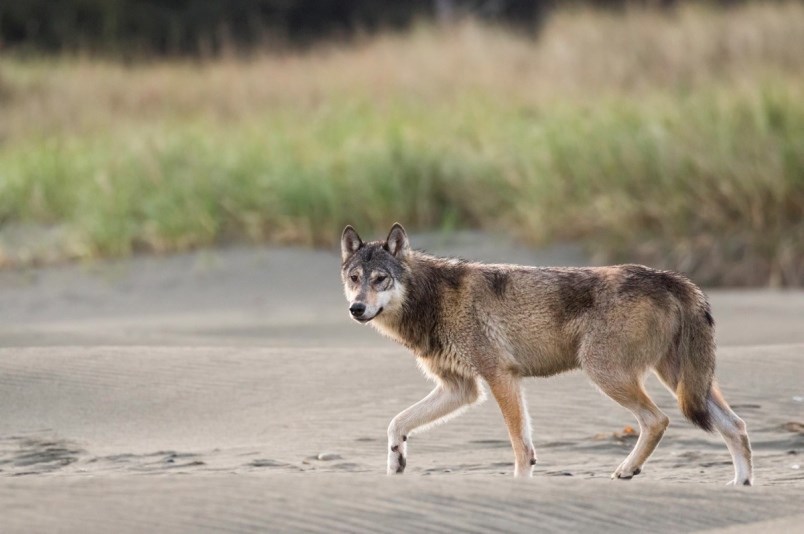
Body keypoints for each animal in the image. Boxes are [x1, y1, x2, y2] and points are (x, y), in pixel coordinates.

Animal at [340, 222, 752, 486]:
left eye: (380, 280)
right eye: (354, 279)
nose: (356, 309)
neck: (433, 299)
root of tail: (671, 277)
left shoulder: (500, 378)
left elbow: (521, 447)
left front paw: (521, 487)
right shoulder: (462, 389)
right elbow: (396, 423)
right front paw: (395, 463)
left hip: (608, 374)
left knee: (658, 420)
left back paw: (626, 470)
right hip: (683, 383)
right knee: (736, 426)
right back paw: (740, 486)